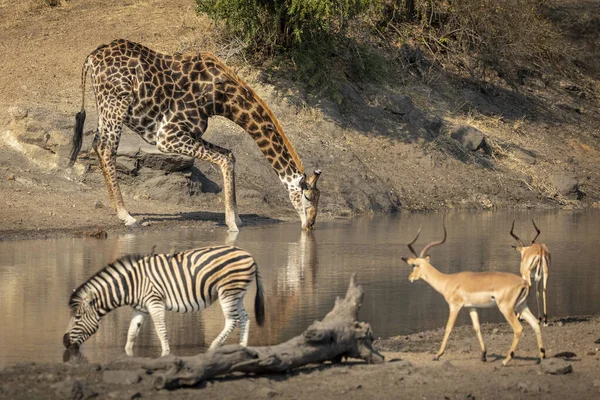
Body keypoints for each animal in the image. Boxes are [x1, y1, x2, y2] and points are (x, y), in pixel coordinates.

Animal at [62, 245, 264, 358]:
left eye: (77, 318)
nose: (64, 342)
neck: (131, 285)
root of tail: (249, 255)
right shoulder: (140, 309)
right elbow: (131, 333)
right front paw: (127, 352)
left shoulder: (154, 302)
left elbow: (160, 330)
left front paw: (166, 353)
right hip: (238, 293)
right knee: (245, 318)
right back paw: (242, 348)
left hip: (227, 292)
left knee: (232, 320)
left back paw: (213, 347)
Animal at [68, 38, 322, 231]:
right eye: (308, 197)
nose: (310, 225)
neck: (221, 98)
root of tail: (92, 57)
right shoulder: (167, 137)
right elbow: (223, 159)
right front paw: (232, 225)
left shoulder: (190, 132)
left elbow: (229, 156)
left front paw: (237, 218)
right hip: (116, 103)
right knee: (106, 148)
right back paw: (126, 215)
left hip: (106, 106)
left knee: (97, 143)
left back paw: (117, 208)